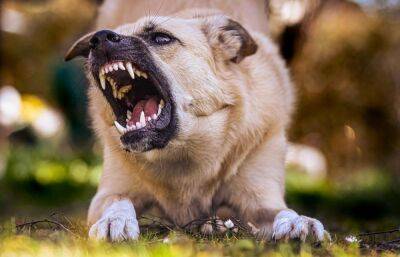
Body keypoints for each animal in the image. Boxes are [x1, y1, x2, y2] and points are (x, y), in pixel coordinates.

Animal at [66, 7, 328, 241]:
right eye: (95, 40)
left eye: (161, 37)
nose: (99, 38)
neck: (182, 153)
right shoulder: (108, 193)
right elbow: (119, 201)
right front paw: (115, 220)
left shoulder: (261, 200)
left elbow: (282, 211)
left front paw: (298, 221)